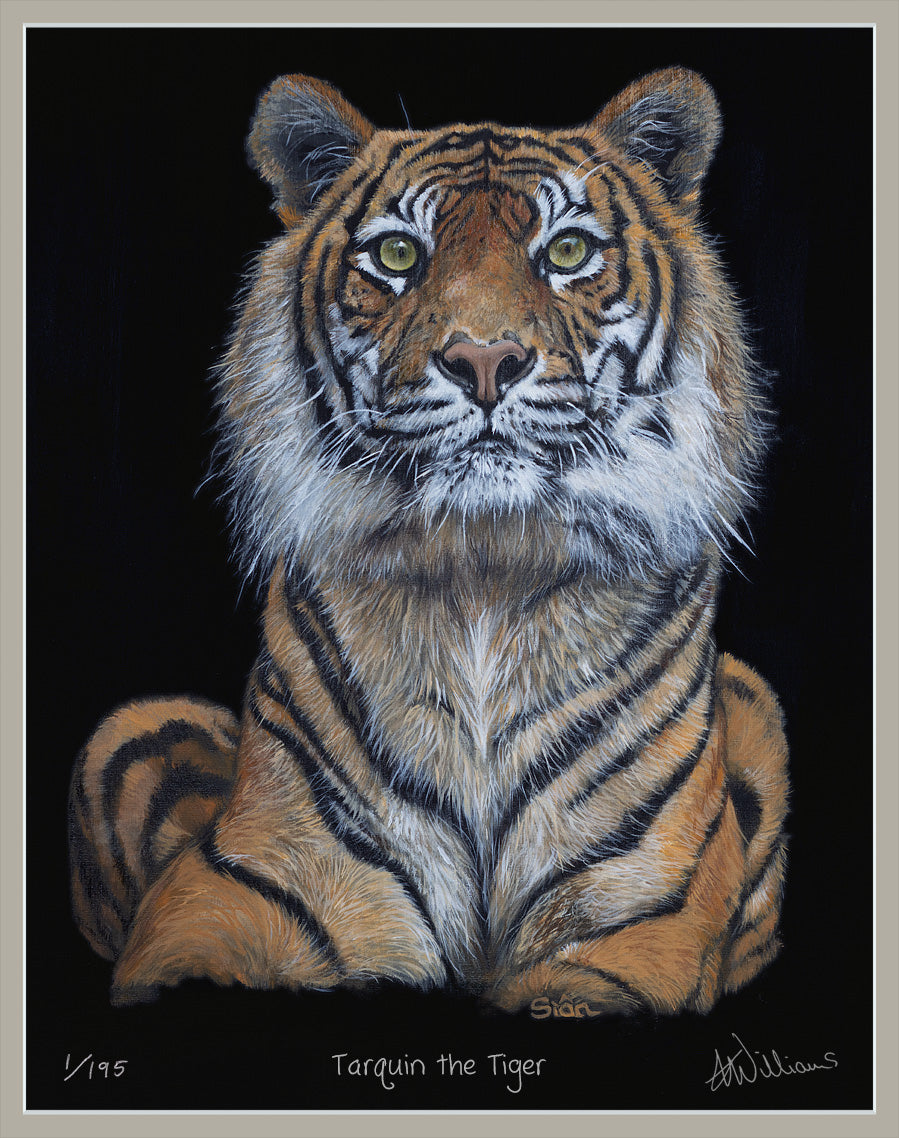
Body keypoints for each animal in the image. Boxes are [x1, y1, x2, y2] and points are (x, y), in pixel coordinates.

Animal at [69, 66, 789, 1015]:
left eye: (567, 252)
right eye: (399, 257)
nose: (483, 361)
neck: (482, 566)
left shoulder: (637, 923)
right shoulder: (234, 892)